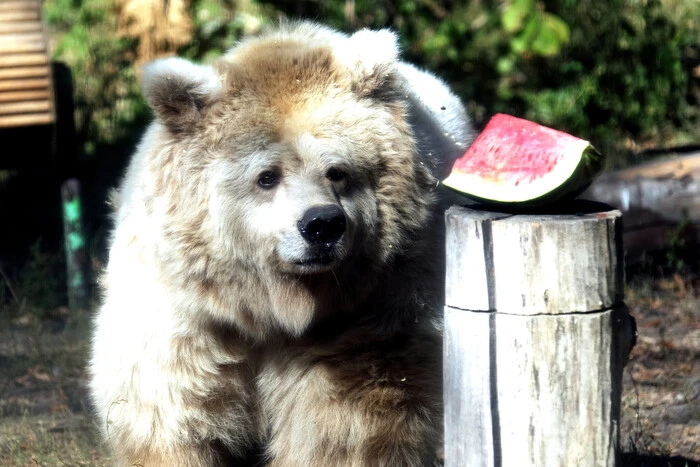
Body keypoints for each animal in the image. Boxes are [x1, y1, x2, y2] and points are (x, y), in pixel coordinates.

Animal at [86, 22, 470, 467]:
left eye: (337, 171)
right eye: (267, 176)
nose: (321, 225)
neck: (270, 305)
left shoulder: (370, 308)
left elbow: (349, 418)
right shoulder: (188, 312)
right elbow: (174, 407)